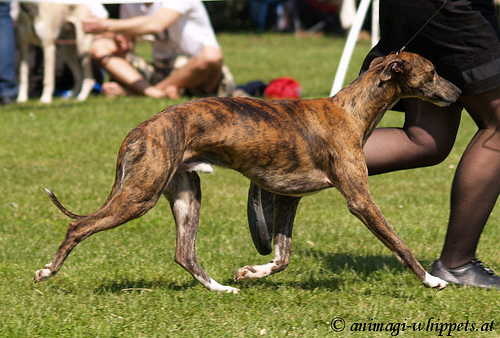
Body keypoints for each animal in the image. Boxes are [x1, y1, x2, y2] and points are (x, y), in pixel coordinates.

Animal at [33, 52, 458, 294]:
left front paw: (251, 272)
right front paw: (432, 280)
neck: (350, 111)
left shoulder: (288, 198)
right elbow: (399, 244)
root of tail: (141, 128)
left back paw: (221, 289)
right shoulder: (359, 199)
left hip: (186, 194)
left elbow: (282, 257)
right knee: (79, 226)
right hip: (140, 195)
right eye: (433, 71)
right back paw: (47, 272)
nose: (457, 95)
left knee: (184, 253)